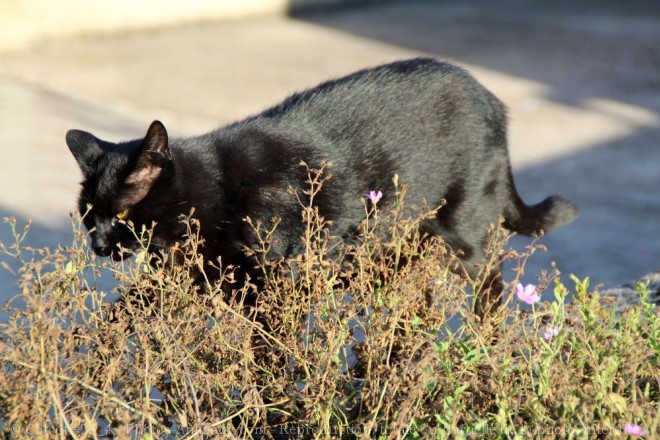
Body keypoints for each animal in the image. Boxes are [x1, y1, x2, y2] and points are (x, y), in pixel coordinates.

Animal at [64, 57, 576, 312]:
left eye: (124, 214)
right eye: (90, 216)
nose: (99, 245)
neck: (215, 191)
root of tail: (493, 100)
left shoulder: (279, 286)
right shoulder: (185, 277)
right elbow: (128, 309)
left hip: (464, 234)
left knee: (492, 280)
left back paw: (484, 343)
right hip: (393, 253)